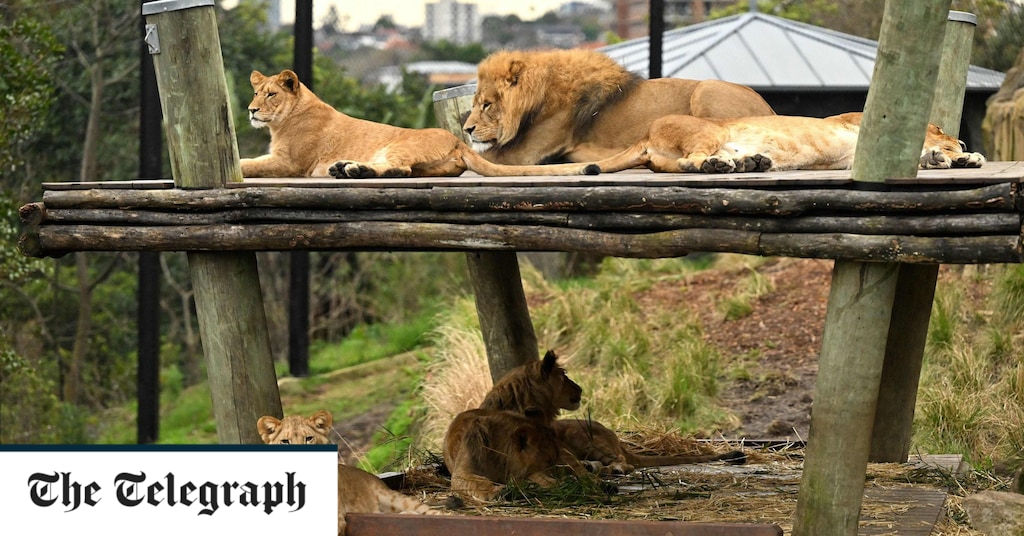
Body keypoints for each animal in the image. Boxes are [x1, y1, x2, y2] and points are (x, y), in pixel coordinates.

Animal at [240, 69, 599, 179]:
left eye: (271, 94)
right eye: (256, 92)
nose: (251, 110)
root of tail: (458, 141)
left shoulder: (290, 162)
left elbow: (249, 164)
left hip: (397, 145)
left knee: (400, 169)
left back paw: (351, 170)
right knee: (405, 171)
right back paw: (345, 168)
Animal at [463, 48, 775, 165]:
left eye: (487, 105)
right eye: (475, 104)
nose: (467, 129)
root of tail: (768, 106)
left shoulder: (527, 153)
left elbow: (479, 154)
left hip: (706, 89)